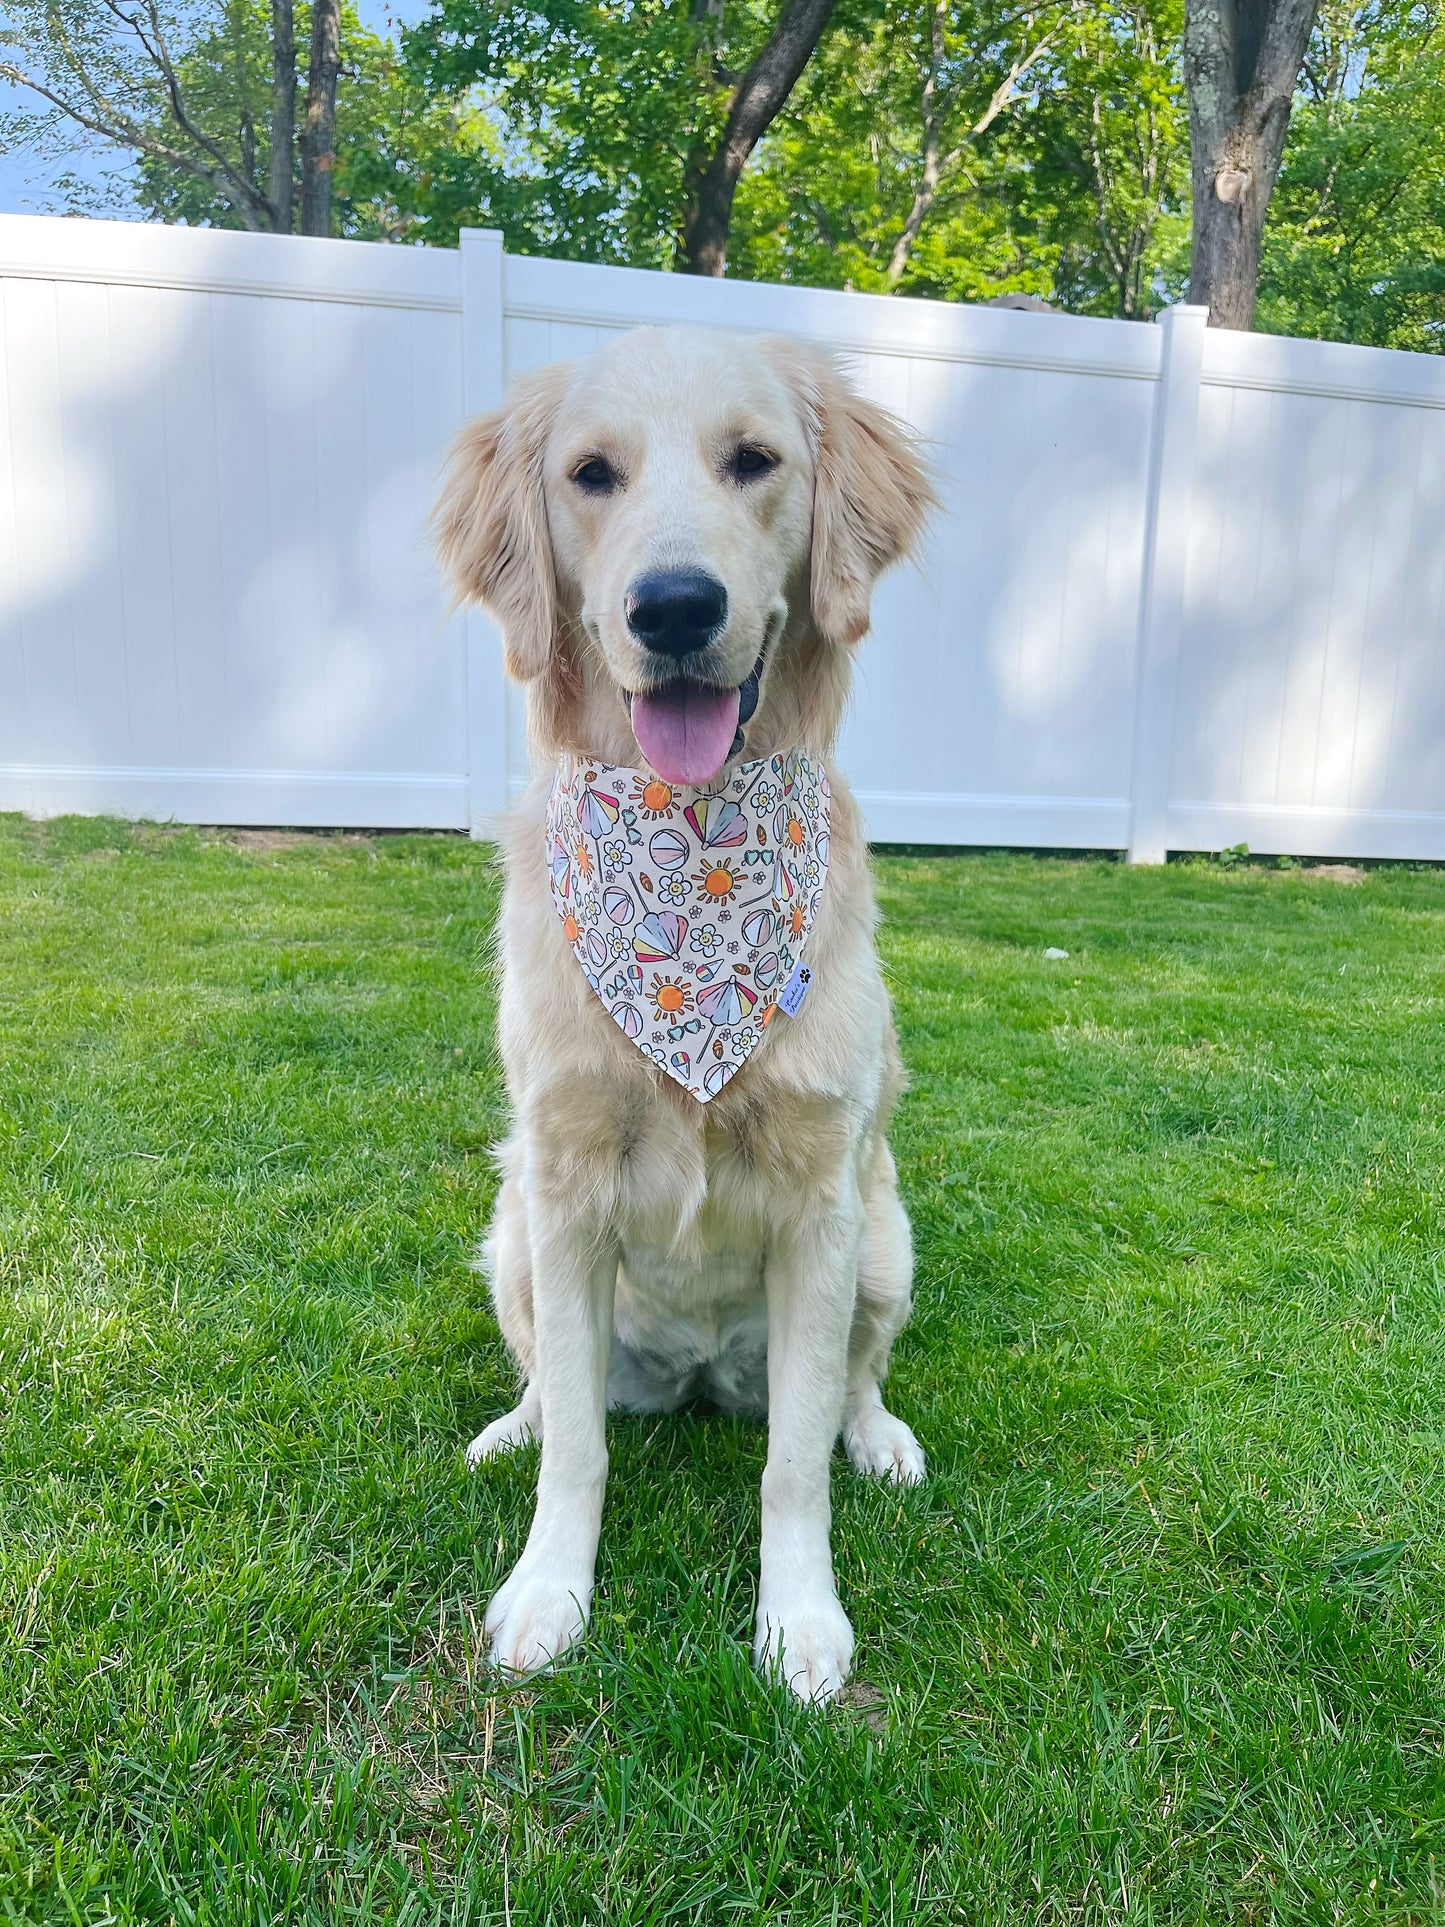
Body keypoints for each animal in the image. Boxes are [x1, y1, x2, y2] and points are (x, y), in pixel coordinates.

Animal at [439, 327, 940, 1703]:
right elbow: (579, 1451)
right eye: (590, 474)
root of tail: (704, 1373)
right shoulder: (560, 1186)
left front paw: (800, 1621)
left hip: (885, 1242)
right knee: (552, 1393)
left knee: (852, 1381)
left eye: (753, 460)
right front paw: (548, 1593)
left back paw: (880, 1438)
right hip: (509, 1233)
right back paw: (507, 1428)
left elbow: (792, 1465)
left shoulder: (822, 1204)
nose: (673, 607)